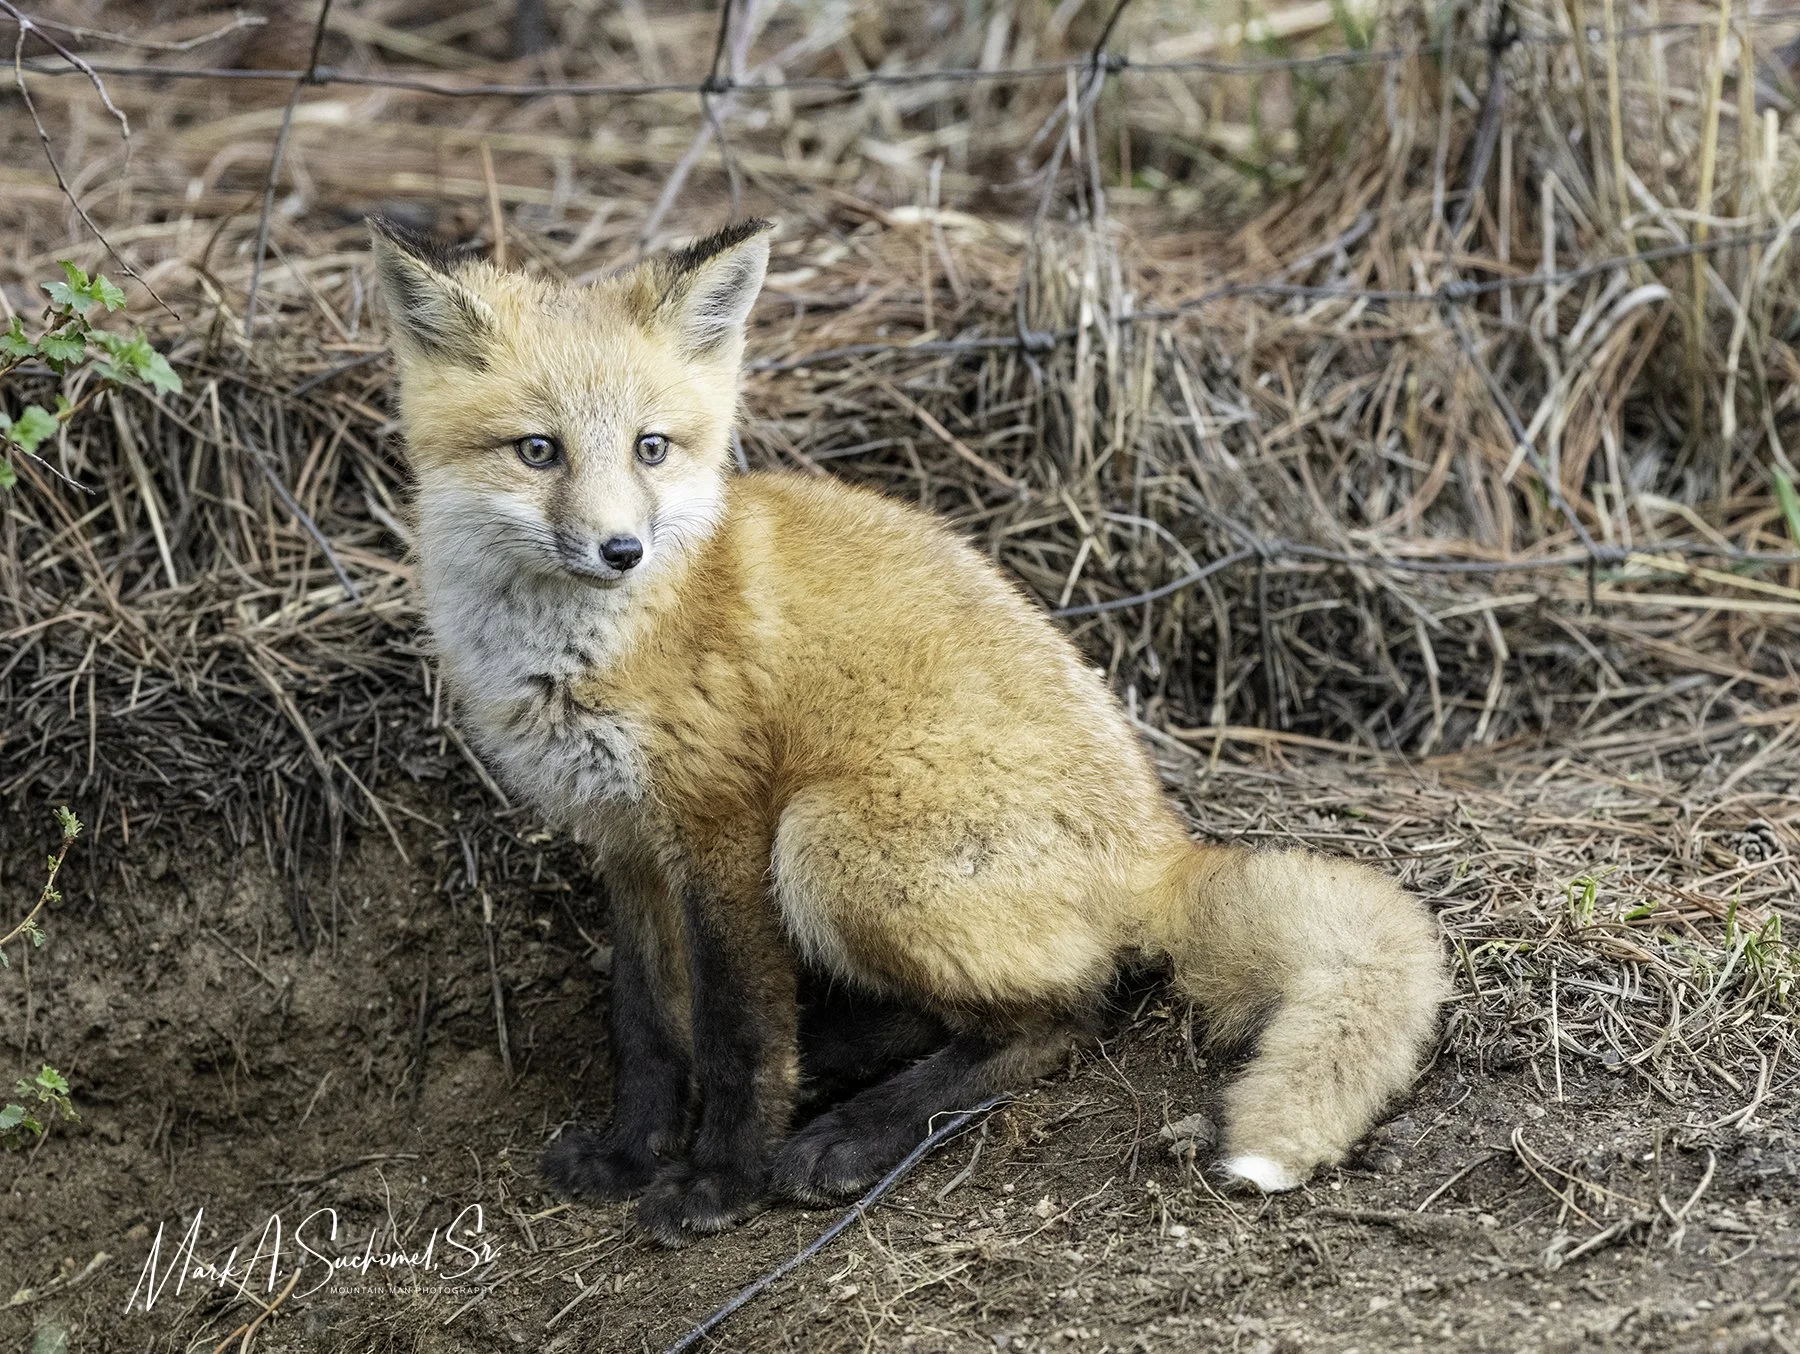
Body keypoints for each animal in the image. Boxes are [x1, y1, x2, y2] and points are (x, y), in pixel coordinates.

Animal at [368, 215, 1449, 1247]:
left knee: (1065, 1018)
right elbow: (645, 1025)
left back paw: (856, 1130)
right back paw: (835, 1069)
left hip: (825, 845)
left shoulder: (723, 828)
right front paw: (634, 1153)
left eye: (650, 447)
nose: (620, 549)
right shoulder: (626, 843)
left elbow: (737, 1030)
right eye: (537, 449)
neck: (582, 651)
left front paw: (720, 1182)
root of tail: (1162, 844)